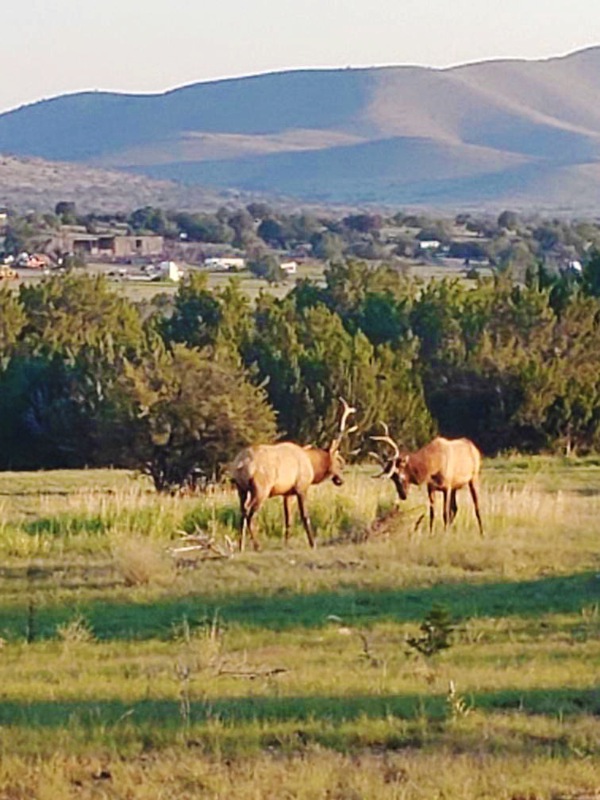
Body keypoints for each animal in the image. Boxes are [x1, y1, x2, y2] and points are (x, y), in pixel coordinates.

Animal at [230, 398, 356, 552]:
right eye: (338, 462)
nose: (341, 480)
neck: (312, 465)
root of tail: (240, 464)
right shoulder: (302, 487)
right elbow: (305, 516)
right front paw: (312, 543)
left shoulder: (287, 493)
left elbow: (288, 519)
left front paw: (286, 543)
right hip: (260, 489)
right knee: (249, 512)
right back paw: (257, 545)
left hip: (241, 489)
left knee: (242, 511)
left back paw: (241, 546)